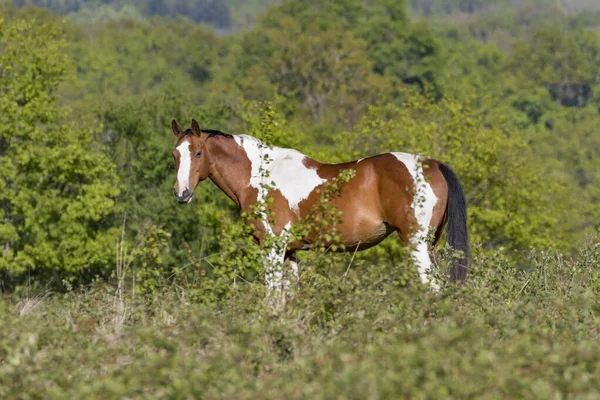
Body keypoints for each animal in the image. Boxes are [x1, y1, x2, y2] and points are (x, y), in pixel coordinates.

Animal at [169, 119, 468, 290]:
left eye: (198, 153)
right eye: (175, 154)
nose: (182, 194)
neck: (260, 175)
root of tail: (432, 164)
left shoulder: (272, 248)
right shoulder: (289, 251)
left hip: (416, 245)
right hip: (431, 246)